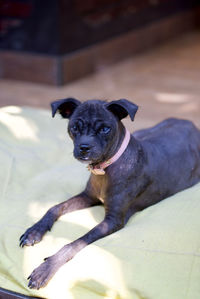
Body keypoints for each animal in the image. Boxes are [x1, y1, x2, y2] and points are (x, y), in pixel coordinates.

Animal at [19, 99, 200, 290]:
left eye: (105, 129)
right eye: (74, 127)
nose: (84, 148)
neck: (105, 168)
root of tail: (188, 123)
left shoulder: (113, 221)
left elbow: (77, 241)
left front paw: (46, 268)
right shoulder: (88, 196)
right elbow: (55, 207)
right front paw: (35, 231)